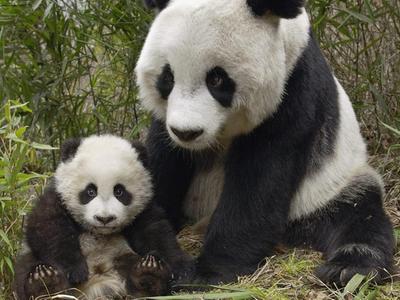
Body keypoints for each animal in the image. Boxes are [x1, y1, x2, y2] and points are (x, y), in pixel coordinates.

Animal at [14, 136, 192, 300]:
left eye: (119, 191)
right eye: (90, 191)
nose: (104, 219)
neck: (99, 232)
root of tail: (97, 287)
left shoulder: (143, 210)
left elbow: (156, 232)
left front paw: (180, 269)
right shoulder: (56, 198)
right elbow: (47, 228)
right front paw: (75, 270)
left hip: (121, 256)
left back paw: (149, 274)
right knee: (26, 267)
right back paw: (45, 282)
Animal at [136, 0, 396, 286]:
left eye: (216, 79)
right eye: (168, 77)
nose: (186, 132)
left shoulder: (293, 92)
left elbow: (259, 184)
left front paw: (206, 273)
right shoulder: (166, 125)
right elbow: (162, 163)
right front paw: (156, 255)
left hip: (331, 186)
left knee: (360, 216)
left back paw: (348, 269)